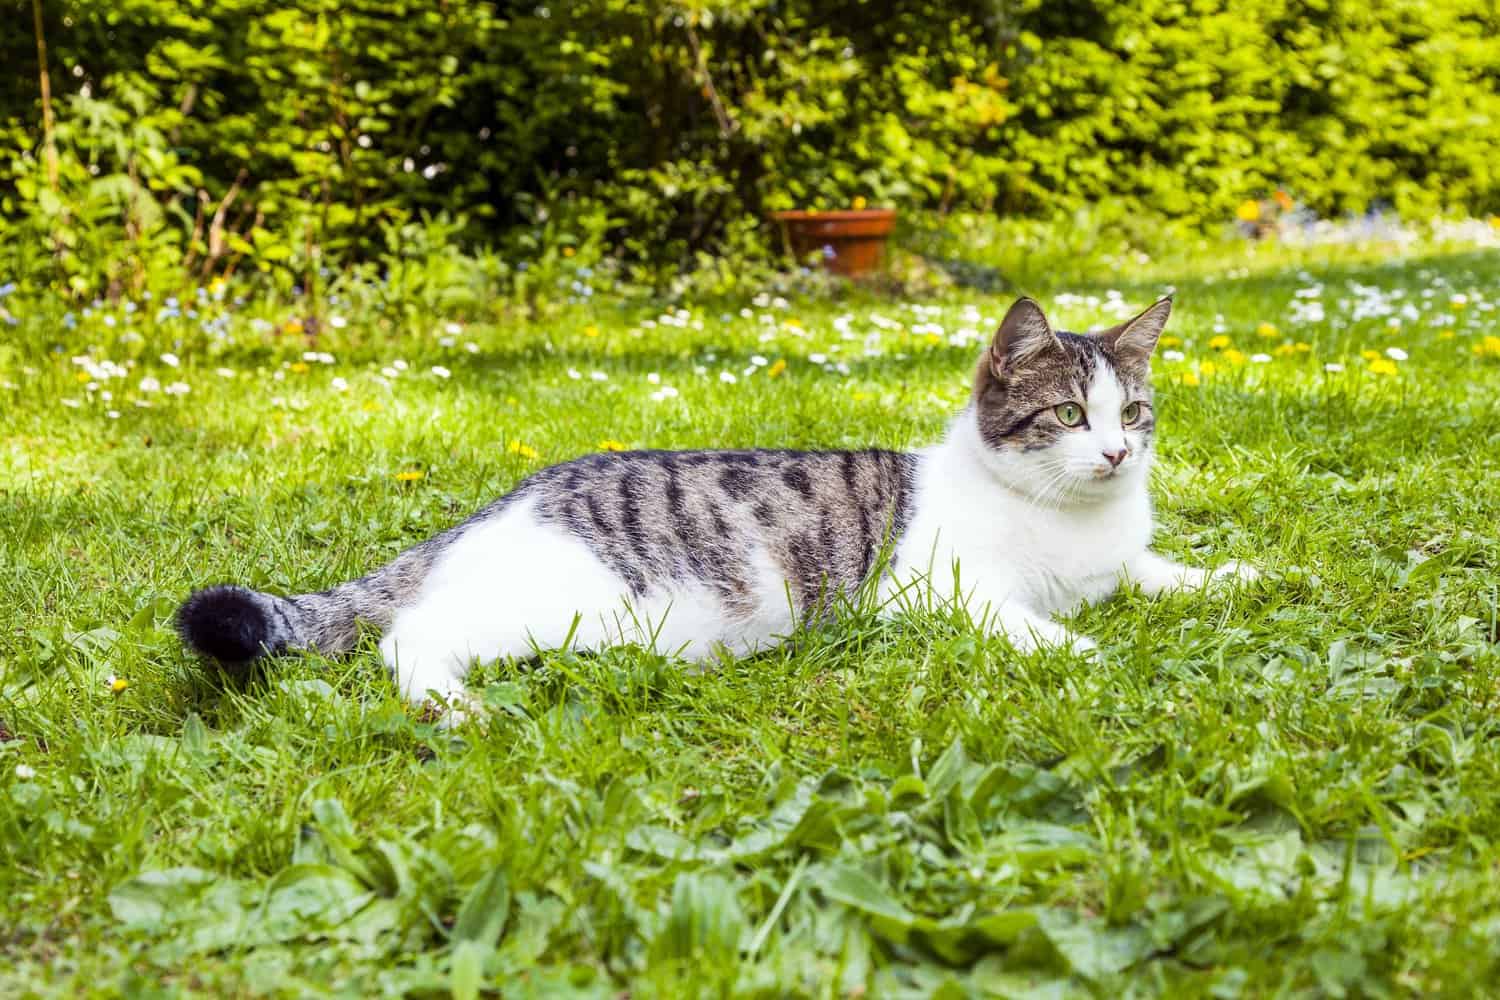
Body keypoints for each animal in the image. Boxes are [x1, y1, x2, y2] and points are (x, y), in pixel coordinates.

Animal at [175, 296, 1254, 719]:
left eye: (1133, 412)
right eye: (1069, 414)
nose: (1116, 452)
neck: (1073, 521)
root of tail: (495, 507)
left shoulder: (1121, 562)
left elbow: (1159, 572)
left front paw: (1229, 574)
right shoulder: (930, 590)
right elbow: (1024, 620)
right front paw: (1081, 651)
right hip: (561, 607)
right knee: (409, 636)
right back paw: (458, 705)